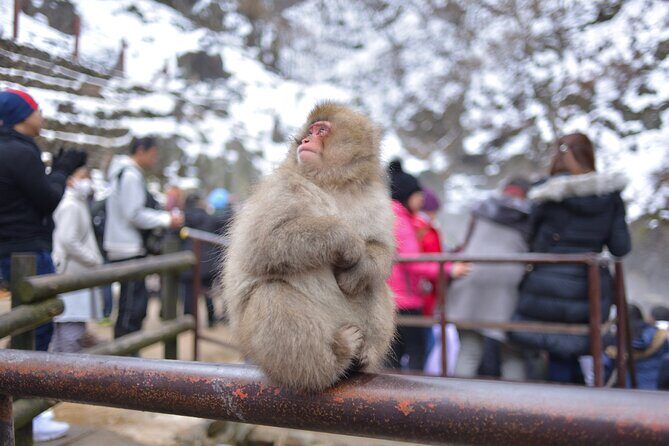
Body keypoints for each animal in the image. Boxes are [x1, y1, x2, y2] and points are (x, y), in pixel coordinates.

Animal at [222, 102, 396, 392]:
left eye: (321, 130)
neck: (333, 183)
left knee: (375, 284)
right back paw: (337, 356)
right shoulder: (281, 189)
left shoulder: (376, 200)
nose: (305, 141)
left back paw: (363, 356)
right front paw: (346, 239)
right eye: (310, 131)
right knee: (272, 295)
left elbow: (380, 248)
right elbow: (261, 243)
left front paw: (357, 269)